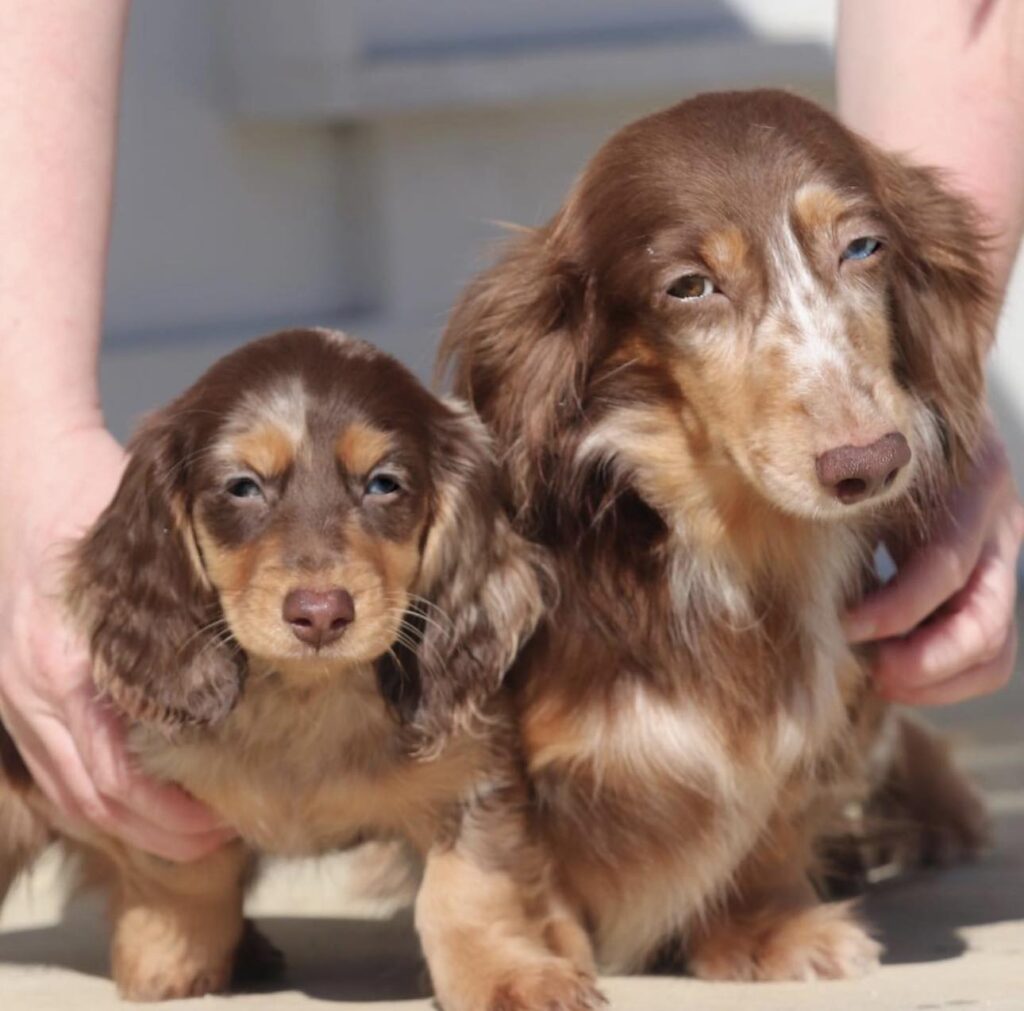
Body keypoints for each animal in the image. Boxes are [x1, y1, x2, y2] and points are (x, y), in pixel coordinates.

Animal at [0, 331, 598, 1011]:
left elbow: (468, 889)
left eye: (384, 483)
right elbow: (189, 874)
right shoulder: (152, 798)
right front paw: (173, 958)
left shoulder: (473, 771)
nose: (320, 614)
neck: (304, 700)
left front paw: (508, 975)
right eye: (242, 487)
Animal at [440, 92, 991, 979]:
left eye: (863, 247)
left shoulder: (833, 703)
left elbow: (773, 814)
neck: (738, 544)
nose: (869, 462)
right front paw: (543, 951)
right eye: (690, 287)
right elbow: (520, 853)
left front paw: (762, 928)